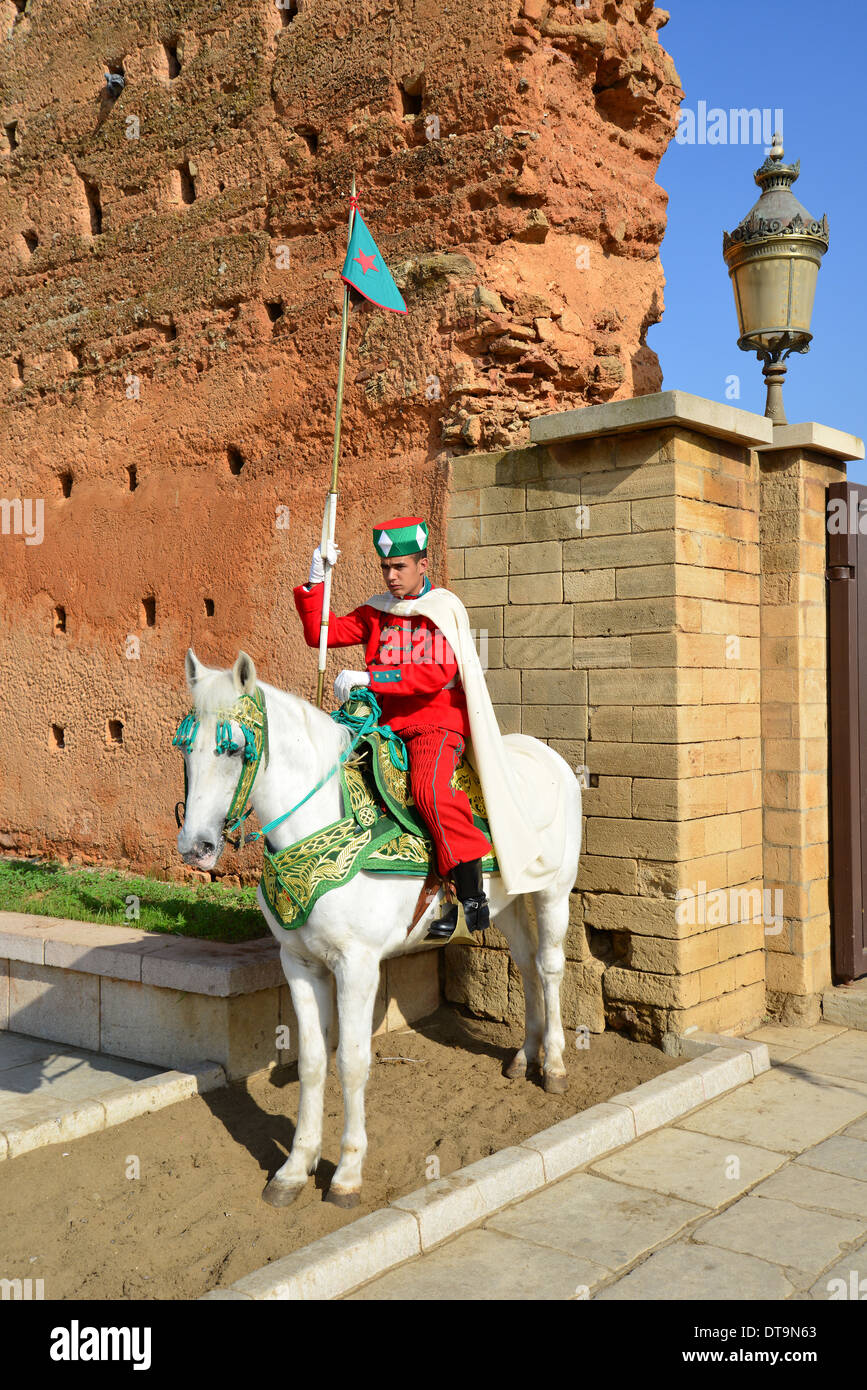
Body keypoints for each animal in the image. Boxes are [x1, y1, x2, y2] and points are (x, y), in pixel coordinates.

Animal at [175, 649, 582, 1208]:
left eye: (234, 749)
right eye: (184, 747)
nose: (195, 848)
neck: (322, 823)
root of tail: (550, 758)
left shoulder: (358, 965)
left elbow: (352, 1061)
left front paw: (347, 1172)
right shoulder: (298, 963)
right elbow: (311, 1061)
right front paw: (294, 1168)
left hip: (553, 892)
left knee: (548, 967)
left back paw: (556, 1065)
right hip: (506, 901)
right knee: (523, 966)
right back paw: (525, 1056)